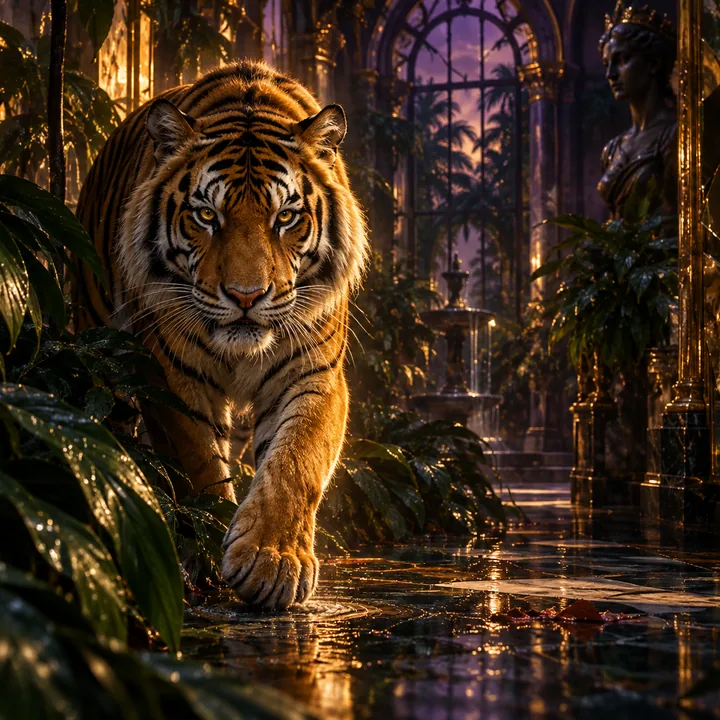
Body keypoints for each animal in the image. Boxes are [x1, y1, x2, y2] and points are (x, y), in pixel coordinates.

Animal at [75, 60, 368, 609]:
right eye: (206, 215)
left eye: (286, 217)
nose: (246, 296)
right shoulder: (172, 375)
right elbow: (200, 465)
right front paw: (210, 552)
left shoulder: (313, 373)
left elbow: (297, 461)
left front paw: (273, 561)